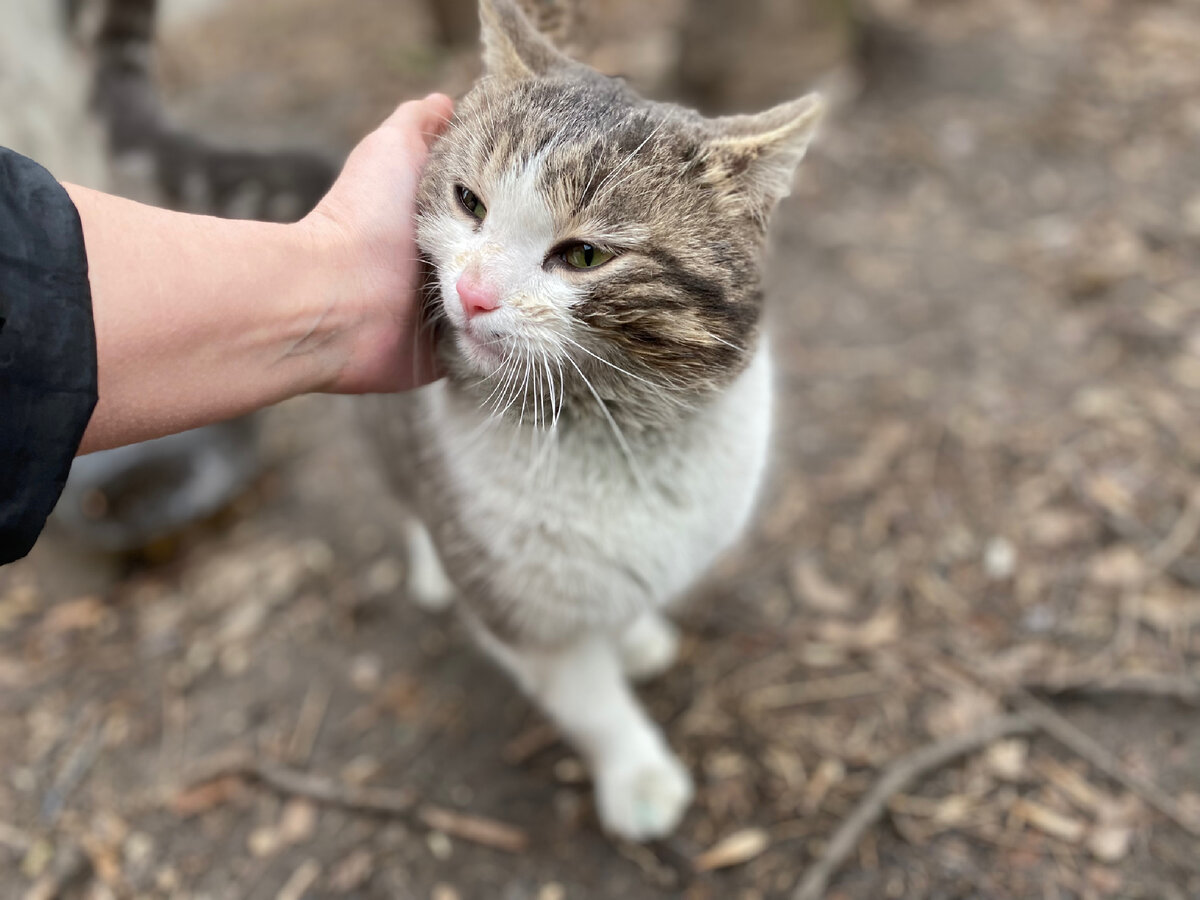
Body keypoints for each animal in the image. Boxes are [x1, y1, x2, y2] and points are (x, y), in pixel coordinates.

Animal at [360, 0, 820, 844]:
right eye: (469, 202)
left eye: (583, 256)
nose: (472, 293)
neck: (615, 429)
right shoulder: (523, 606)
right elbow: (591, 703)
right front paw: (638, 777)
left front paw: (635, 634)